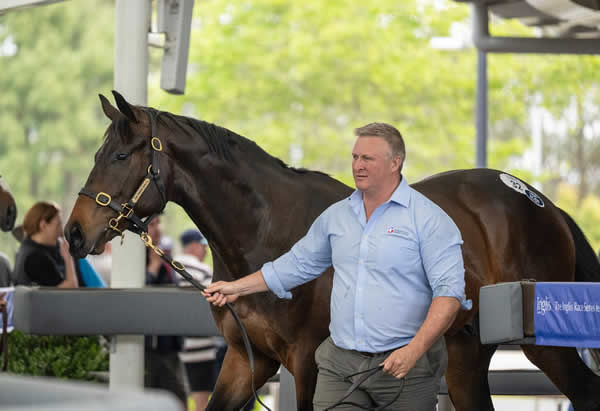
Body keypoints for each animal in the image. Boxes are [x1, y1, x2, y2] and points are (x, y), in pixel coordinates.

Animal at [65, 91, 600, 411]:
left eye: (120, 155)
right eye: (97, 154)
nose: (73, 233)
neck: (266, 230)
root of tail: (542, 203)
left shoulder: (307, 363)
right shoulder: (246, 358)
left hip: (542, 345)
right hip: (466, 353)